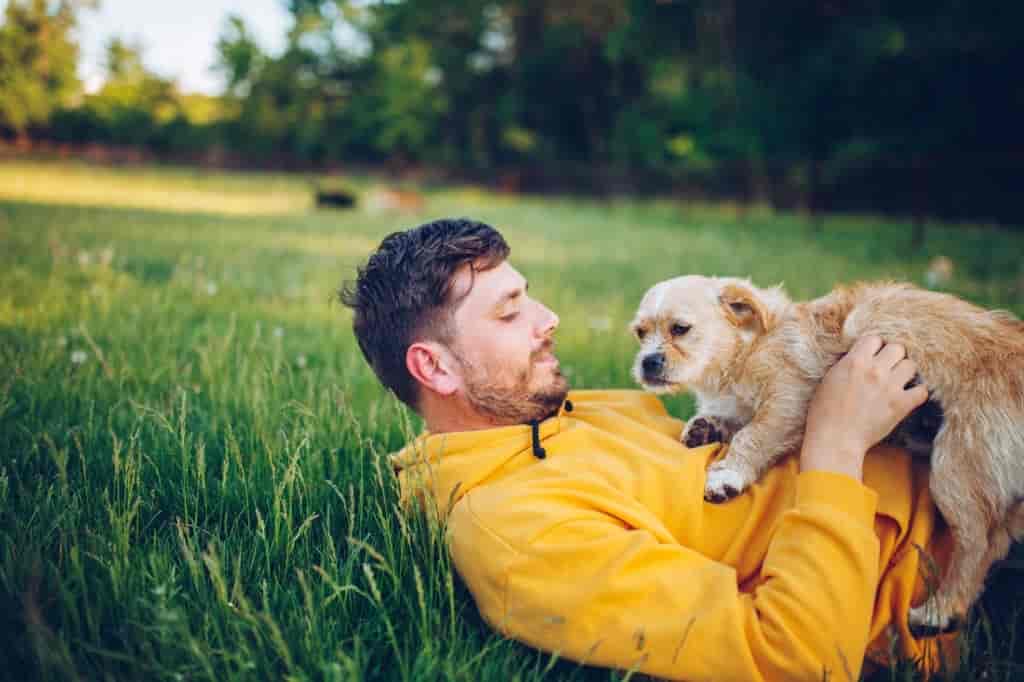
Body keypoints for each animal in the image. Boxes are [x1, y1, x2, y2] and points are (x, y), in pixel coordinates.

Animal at [630, 274, 1024, 630]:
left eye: (680, 329)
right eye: (639, 333)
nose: (648, 362)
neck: (748, 350)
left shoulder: (789, 400)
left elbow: (752, 435)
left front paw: (728, 475)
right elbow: (729, 420)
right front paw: (703, 427)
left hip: (957, 466)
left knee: (978, 545)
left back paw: (939, 610)